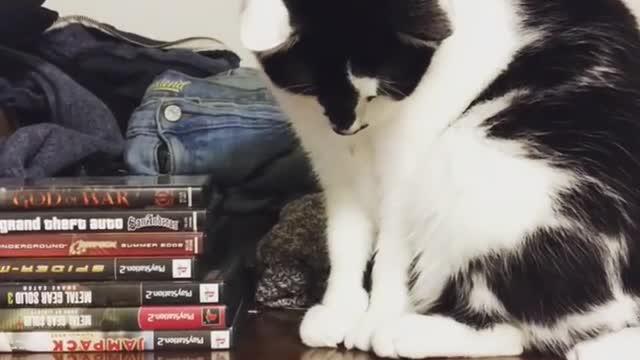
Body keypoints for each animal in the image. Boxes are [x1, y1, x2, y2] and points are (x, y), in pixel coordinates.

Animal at [240, 0, 640, 360]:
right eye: (311, 92)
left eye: (376, 93)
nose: (345, 125)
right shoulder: (335, 169)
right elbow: (345, 240)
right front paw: (341, 307)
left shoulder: (406, 171)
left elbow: (391, 254)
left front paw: (377, 316)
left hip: (473, 167)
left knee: (516, 329)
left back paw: (402, 333)